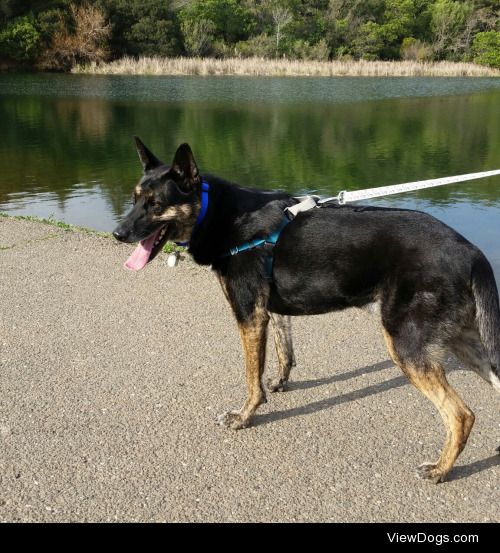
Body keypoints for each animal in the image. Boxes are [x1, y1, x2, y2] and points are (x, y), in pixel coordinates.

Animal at [113, 140, 500, 480]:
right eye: (134, 199)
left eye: (155, 203)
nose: (118, 233)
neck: (217, 213)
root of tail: (473, 253)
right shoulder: (270, 311)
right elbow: (284, 351)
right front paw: (280, 382)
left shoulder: (248, 315)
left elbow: (252, 377)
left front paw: (245, 416)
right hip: (464, 342)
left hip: (408, 346)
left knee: (461, 415)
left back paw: (440, 470)